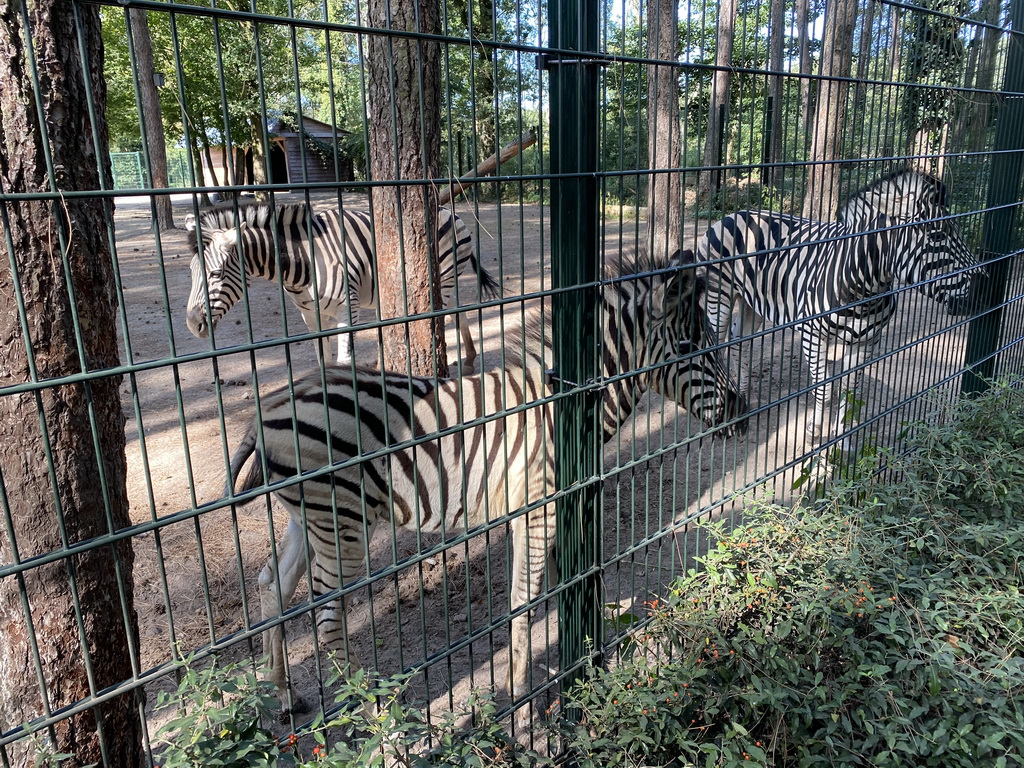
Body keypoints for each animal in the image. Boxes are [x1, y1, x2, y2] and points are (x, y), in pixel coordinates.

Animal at [187, 201, 503, 370]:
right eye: (191, 272)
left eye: (215, 274)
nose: (192, 325)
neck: (302, 261)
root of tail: (451, 210)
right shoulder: (309, 314)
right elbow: (323, 360)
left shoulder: (346, 308)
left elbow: (343, 359)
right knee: (457, 312)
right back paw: (468, 358)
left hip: (445, 276)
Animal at [228, 252, 745, 716]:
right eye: (687, 349)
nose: (741, 409)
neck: (561, 405)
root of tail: (266, 409)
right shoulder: (537, 511)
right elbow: (524, 601)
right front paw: (523, 702)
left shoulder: (547, 510)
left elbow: (565, 584)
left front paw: (581, 655)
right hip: (343, 527)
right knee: (328, 621)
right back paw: (381, 721)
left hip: (309, 520)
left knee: (273, 585)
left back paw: (284, 695)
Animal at [696, 171, 983, 442]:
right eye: (937, 235)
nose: (985, 287)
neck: (863, 289)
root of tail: (734, 213)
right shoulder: (813, 337)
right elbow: (825, 389)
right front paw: (813, 431)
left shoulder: (866, 341)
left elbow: (849, 389)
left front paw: (840, 436)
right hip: (718, 298)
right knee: (714, 345)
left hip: (752, 303)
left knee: (739, 342)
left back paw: (743, 394)